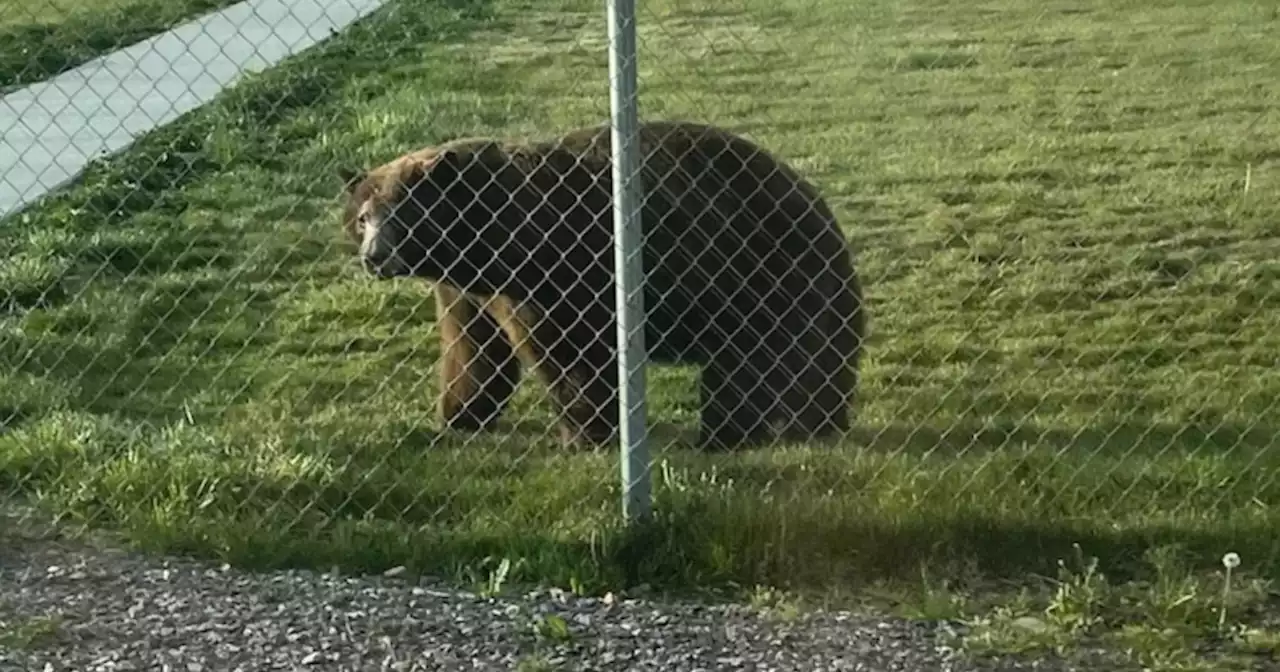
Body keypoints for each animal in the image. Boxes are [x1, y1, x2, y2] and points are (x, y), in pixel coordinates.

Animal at [335, 119, 865, 450]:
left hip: (764, 273)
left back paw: (732, 433)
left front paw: (583, 434)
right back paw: (818, 419)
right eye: (364, 216)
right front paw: (458, 414)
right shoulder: (466, 289)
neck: (486, 242)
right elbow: (474, 349)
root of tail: (821, 207)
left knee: (756, 361)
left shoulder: (556, 268)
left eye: (404, 212)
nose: (374, 257)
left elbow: (571, 354)